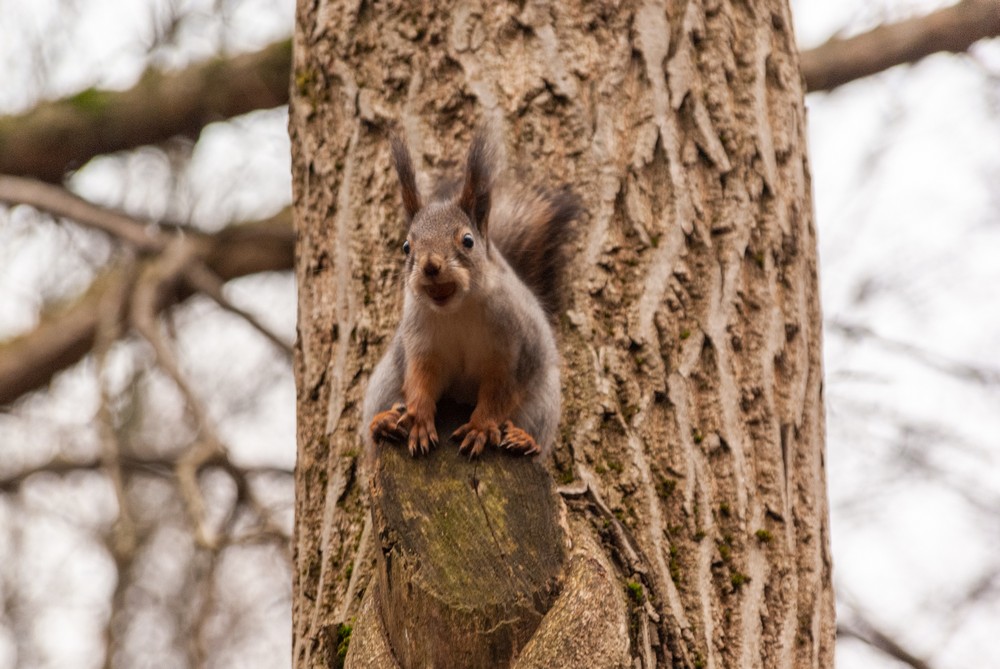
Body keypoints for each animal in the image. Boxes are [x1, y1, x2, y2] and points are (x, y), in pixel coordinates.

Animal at [362, 128, 580, 456]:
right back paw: (383, 423)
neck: (458, 309)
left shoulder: (515, 352)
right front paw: (421, 419)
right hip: (386, 380)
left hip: (543, 401)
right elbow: (421, 380)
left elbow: (498, 396)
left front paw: (480, 428)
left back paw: (523, 439)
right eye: (406, 247)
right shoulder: (422, 344)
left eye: (467, 241)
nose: (430, 266)